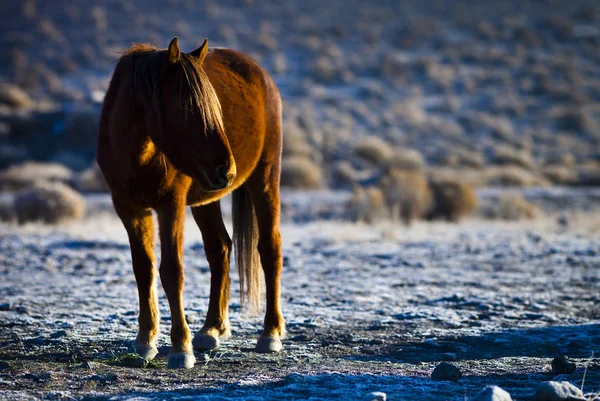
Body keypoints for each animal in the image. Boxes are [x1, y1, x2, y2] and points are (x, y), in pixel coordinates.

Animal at [96, 38, 286, 368]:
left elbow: (172, 271)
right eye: (186, 105)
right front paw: (145, 340)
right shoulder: (129, 208)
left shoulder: (170, 206)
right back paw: (212, 329)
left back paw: (270, 334)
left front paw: (180, 348)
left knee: (270, 249)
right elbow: (143, 268)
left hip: (265, 178)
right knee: (220, 249)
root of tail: (261, 73)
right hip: (206, 199)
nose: (227, 170)